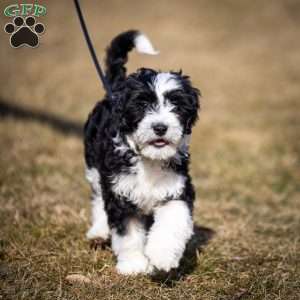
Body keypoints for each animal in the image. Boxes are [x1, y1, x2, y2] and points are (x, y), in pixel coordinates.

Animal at [83, 29, 200, 274]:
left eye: (176, 105)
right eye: (142, 105)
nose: (160, 127)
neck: (149, 160)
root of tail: (114, 90)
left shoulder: (177, 189)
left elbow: (173, 220)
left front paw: (162, 256)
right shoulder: (120, 191)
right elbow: (127, 234)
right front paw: (133, 265)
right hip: (94, 166)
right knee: (97, 197)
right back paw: (99, 231)